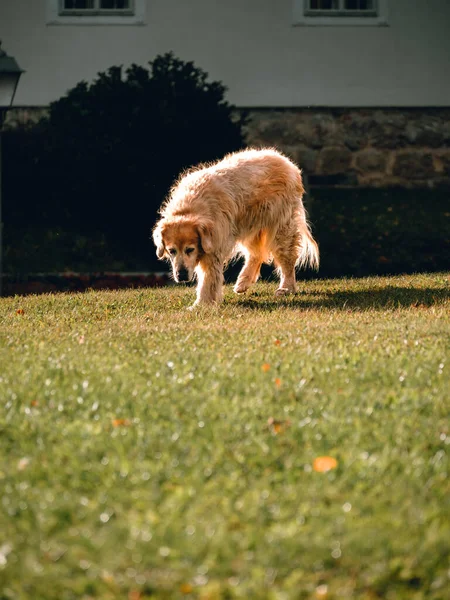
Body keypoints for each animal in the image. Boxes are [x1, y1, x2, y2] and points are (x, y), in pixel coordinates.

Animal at [153, 148, 318, 308]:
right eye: (171, 251)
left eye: (190, 249)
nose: (180, 275)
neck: (188, 209)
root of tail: (287, 162)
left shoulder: (214, 247)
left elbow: (208, 278)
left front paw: (201, 304)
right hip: (249, 225)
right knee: (256, 254)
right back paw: (243, 282)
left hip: (280, 227)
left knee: (287, 259)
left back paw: (286, 287)